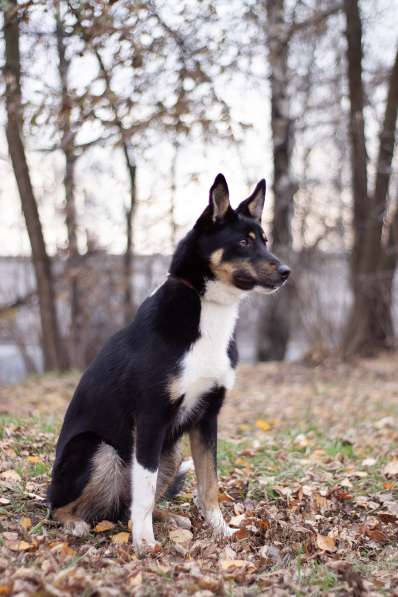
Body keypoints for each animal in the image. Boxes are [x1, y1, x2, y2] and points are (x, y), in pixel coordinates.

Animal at [49, 173, 290, 556]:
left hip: (171, 453)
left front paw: (222, 532)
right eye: (242, 242)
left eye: (265, 241)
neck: (208, 308)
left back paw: (167, 519)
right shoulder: (150, 418)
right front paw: (144, 542)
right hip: (99, 449)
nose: (285, 272)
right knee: (61, 506)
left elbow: (209, 486)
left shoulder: (207, 417)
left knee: (124, 507)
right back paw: (75, 523)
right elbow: (145, 493)